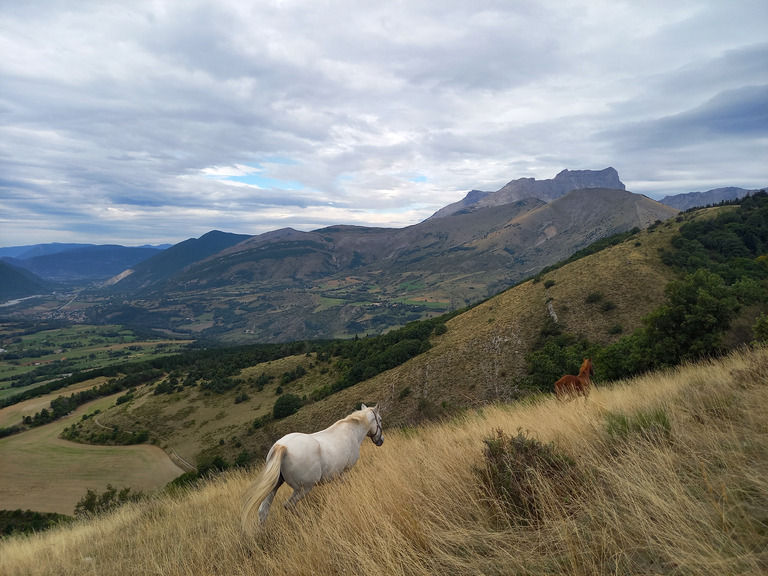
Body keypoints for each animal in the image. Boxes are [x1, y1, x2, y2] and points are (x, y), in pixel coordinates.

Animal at [242, 402, 382, 532]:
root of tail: (282, 446)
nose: (380, 441)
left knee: (263, 511)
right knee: (289, 505)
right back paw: (306, 521)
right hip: (304, 488)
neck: (351, 432)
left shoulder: (339, 475)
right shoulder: (345, 472)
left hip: (275, 485)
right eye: (380, 419)